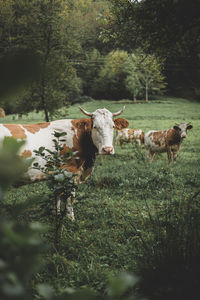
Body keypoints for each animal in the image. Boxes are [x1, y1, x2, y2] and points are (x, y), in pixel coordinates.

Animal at [0, 106, 128, 219]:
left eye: (113, 126)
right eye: (95, 127)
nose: (107, 149)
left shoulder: (56, 173)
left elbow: (57, 193)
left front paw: (56, 214)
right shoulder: (70, 171)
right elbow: (70, 196)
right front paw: (70, 217)